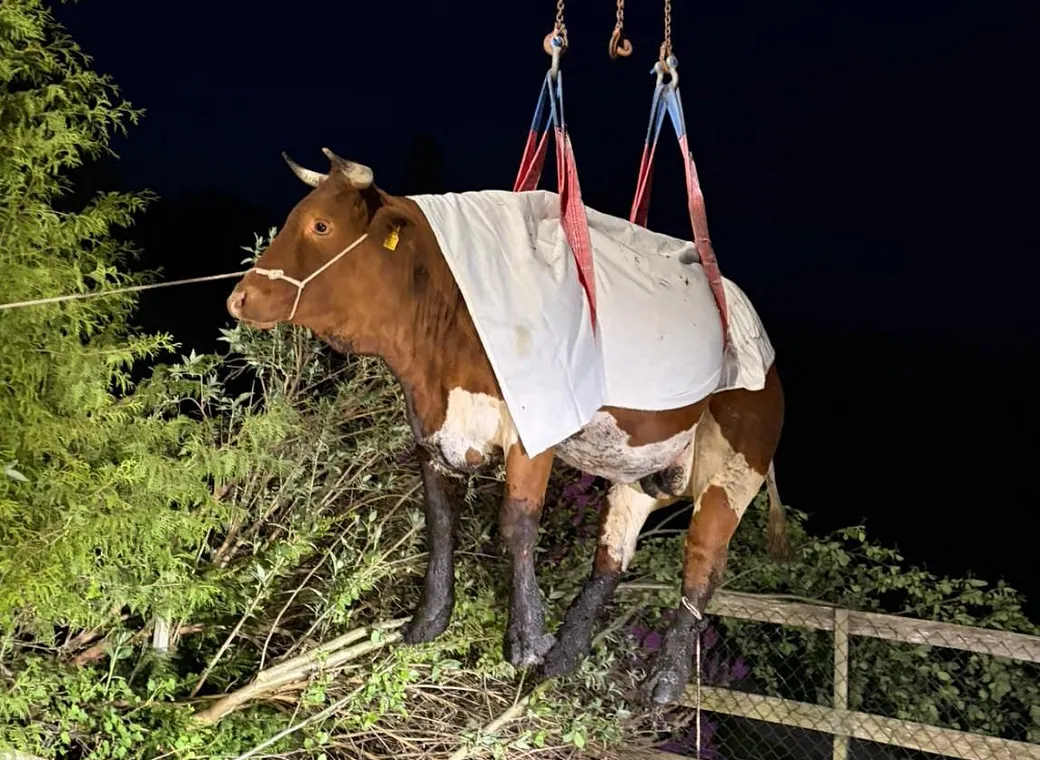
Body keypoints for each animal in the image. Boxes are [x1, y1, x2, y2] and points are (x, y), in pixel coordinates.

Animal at [225, 148, 786, 706]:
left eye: (320, 225)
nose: (238, 298)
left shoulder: (531, 436)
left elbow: (516, 525)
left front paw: (527, 639)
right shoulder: (434, 431)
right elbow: (440, 522)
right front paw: (429, 620)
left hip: (733, 474)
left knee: (702, 567)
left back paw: (663, 683)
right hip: (641, 472)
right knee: (612, 556)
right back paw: (567, 655)